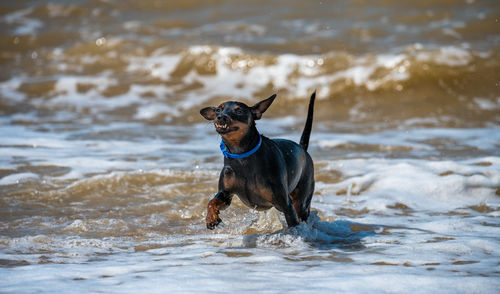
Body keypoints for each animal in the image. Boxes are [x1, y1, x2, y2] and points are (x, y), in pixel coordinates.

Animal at [200, 92, 314, 230]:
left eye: (239, 111)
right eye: (218, 110)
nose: (221, 117)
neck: (241, 155)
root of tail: (302, 148)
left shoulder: (285, 204)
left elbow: (293, 224)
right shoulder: (226, 194)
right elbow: (212, 202)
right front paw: (211, 218)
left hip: (301, 199)